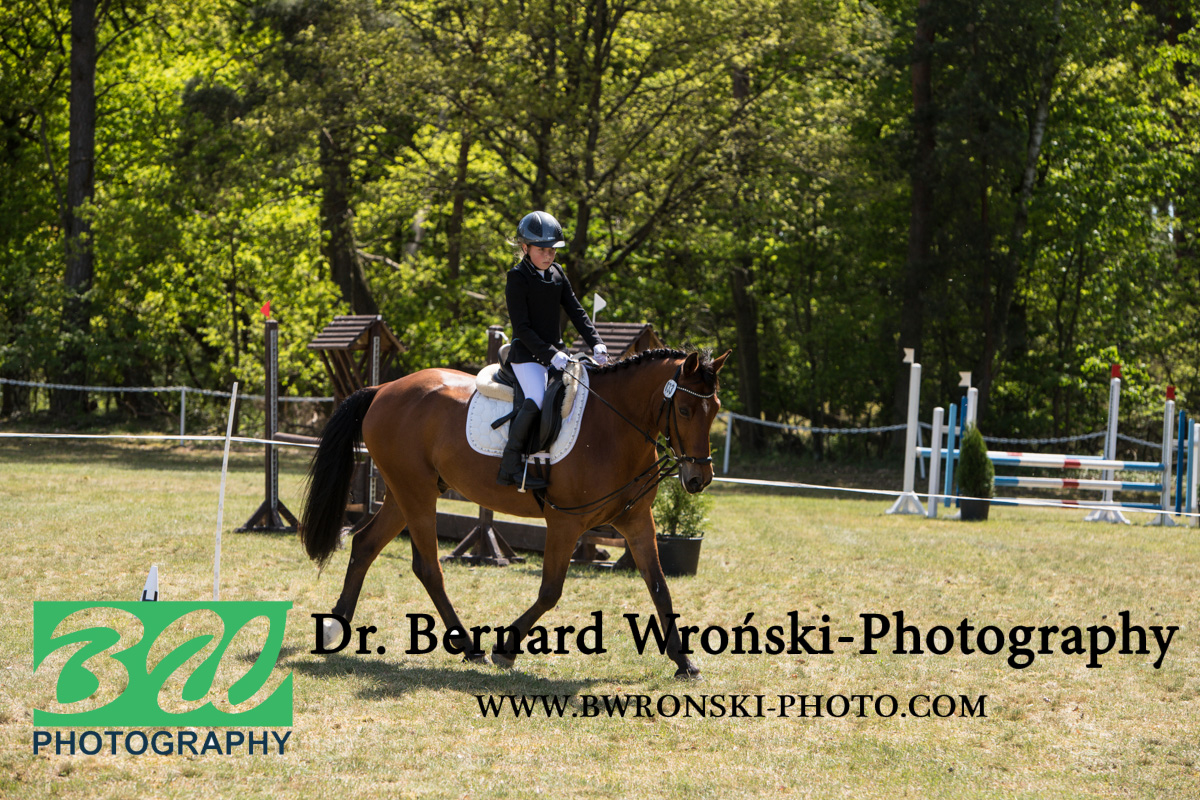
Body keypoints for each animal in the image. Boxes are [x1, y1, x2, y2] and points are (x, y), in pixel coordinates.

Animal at [299, 348, 731, 678]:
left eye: (715, 410)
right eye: (685, 410)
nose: (699, 478)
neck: (613, 428)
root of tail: (383, 389)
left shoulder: (638, 521)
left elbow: (659, 587)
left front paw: (685, 662)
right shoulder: (565, 523)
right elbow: (550, 591)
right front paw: (504, 648)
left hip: (404, 493)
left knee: (365, 545)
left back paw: (336, 626)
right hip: (415, 493)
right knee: (428, 567)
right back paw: (468, 645)